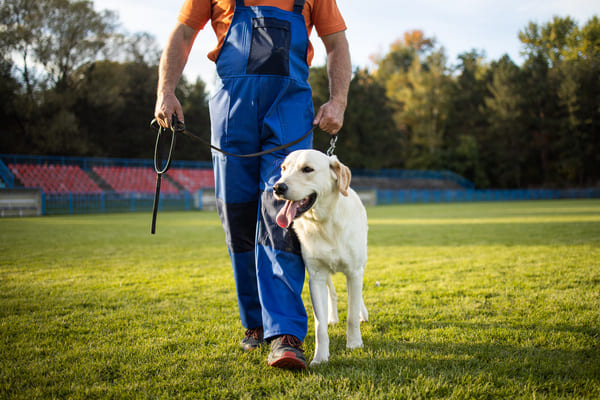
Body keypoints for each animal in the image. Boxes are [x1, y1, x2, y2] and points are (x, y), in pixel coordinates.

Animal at [274, 149, 368, 366]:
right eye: (283, 168)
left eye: (307, 169)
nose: (278, 187)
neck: (325, 223)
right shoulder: (316, 277)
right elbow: (319, 326)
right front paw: (320, 357)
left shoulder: (353, 272)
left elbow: (351, 315)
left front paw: (354, 344)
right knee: (331, 293)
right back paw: (332, 318)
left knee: (357, 296)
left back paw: (363, 314)